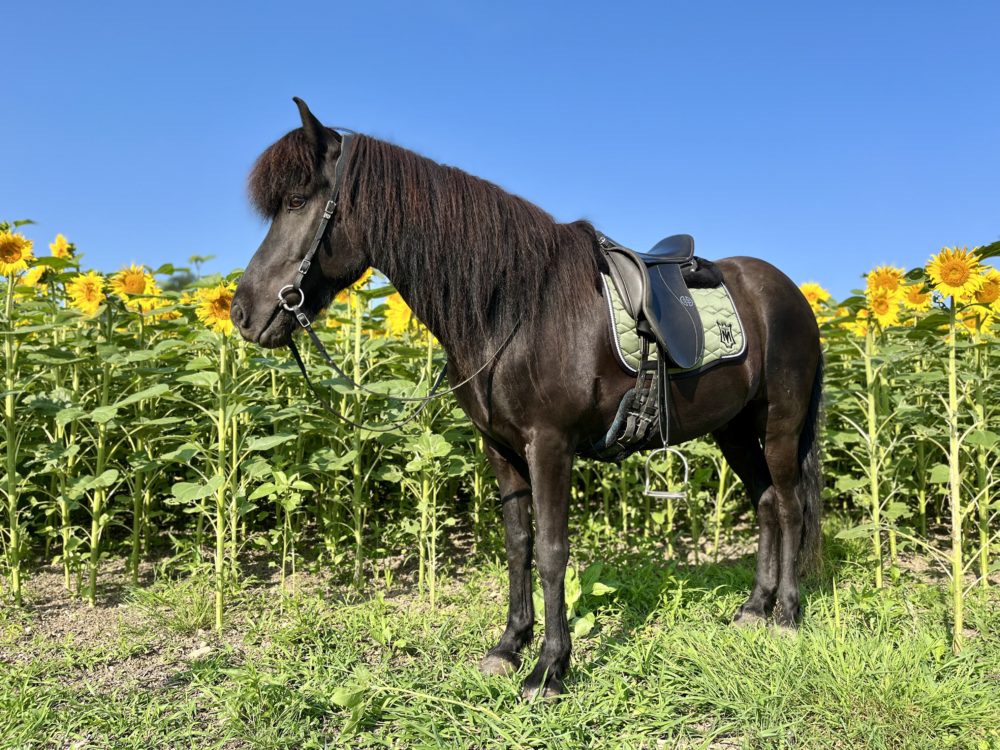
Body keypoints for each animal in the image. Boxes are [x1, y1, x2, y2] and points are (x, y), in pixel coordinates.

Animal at [232, 98, 820, 700]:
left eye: (297, 201)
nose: (243, 312)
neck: (515, 307)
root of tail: (789, 293)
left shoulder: (549, 446)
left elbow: (552, 552)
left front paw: (549, 670)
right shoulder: (500, 448)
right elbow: (517, 544)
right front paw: (509, 646)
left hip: (781, 423)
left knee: (791, 505)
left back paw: (787, 616)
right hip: (733, 428)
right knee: (766, 503)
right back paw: (754, 609)